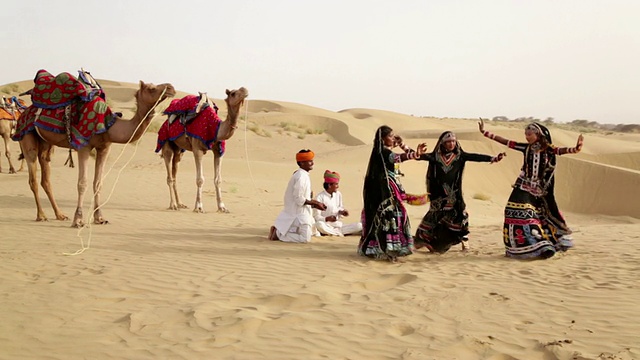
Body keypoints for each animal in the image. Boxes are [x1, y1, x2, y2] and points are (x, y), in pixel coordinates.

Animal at [15, 71, 175, 226]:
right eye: (151, 88)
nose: (171, 88)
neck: (110, 126)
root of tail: (23, 112)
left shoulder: (104, 148)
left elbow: (98, 183)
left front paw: (100, 218)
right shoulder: (84, 146)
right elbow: (82, 183)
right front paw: (78, 220)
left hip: (45, 143)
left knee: (46, 177)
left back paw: (60, 215)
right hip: (26, 135)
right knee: (33, 177)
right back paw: (41, 215)